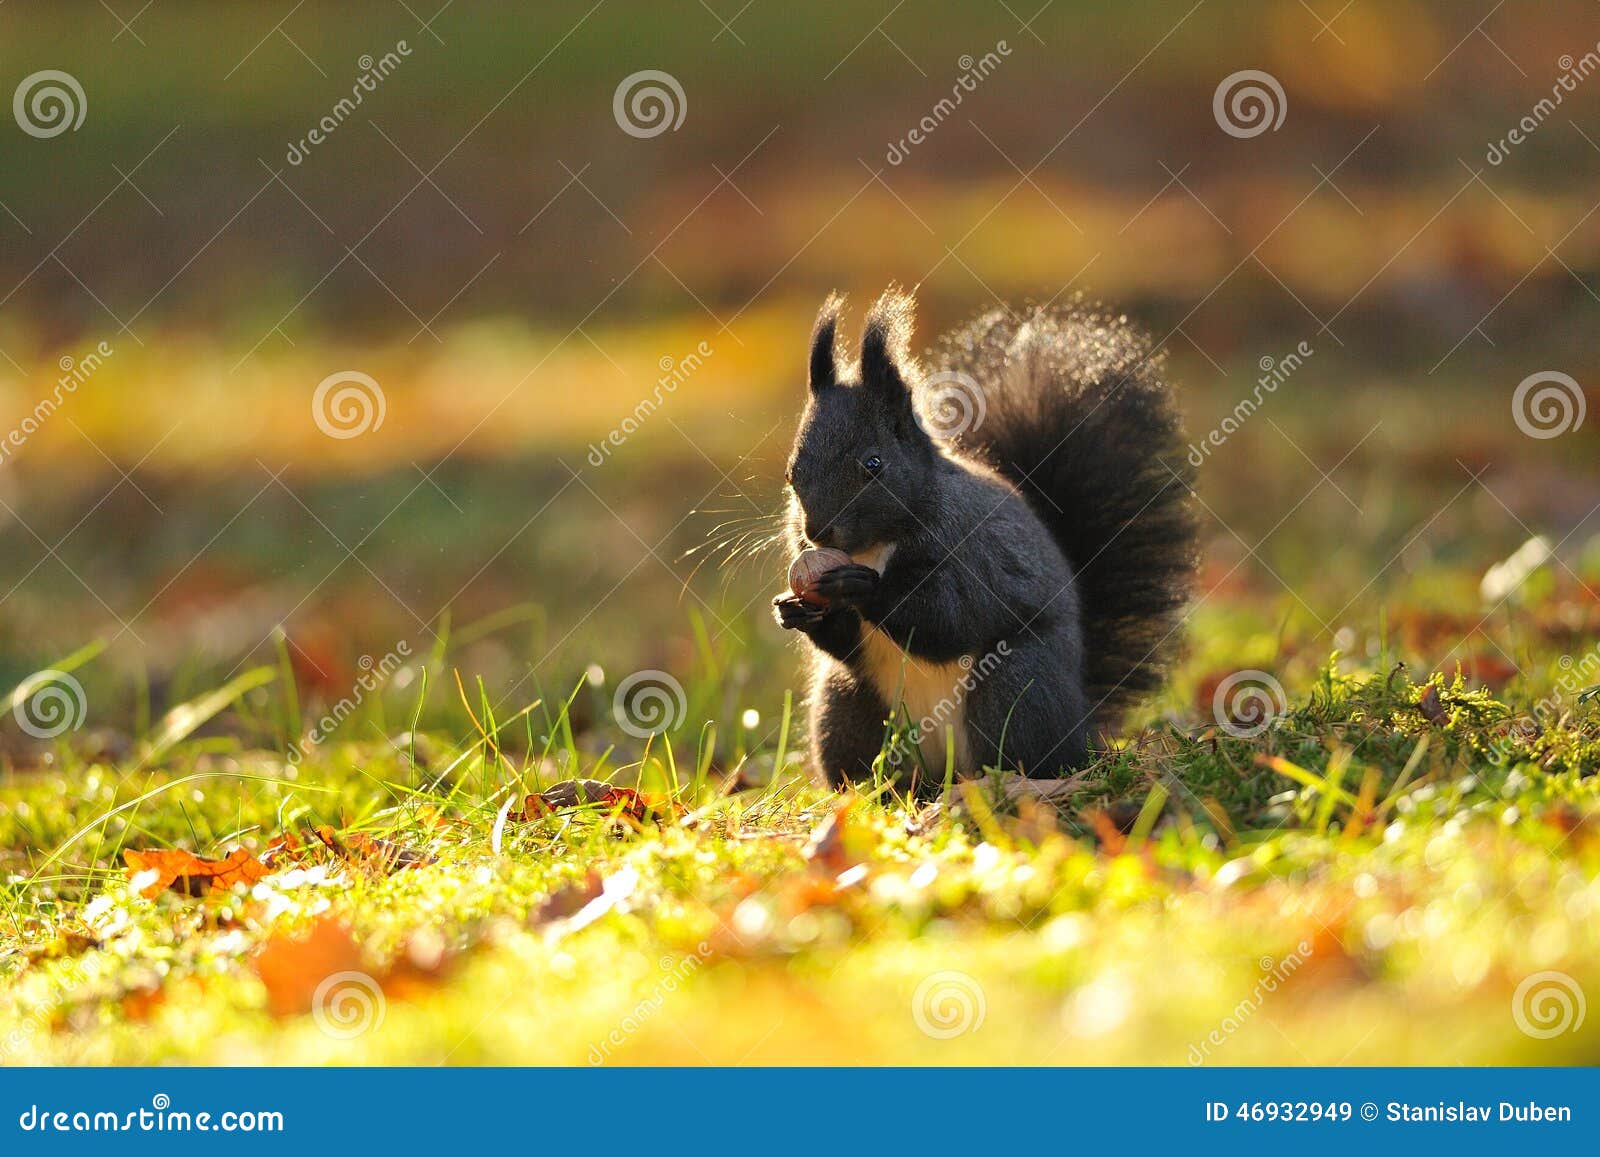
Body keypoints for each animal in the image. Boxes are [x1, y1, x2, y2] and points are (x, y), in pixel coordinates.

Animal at [774, 289, 1203, 796]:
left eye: (874, 464)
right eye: (790, 472)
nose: (817, 532)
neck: (877, 545)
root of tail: (1082, 724)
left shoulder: (977, 551)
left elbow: (952, 618)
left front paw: (860, 587)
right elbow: (845, 645)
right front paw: (794, 609)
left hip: (1015, 687)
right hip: (846, 705)